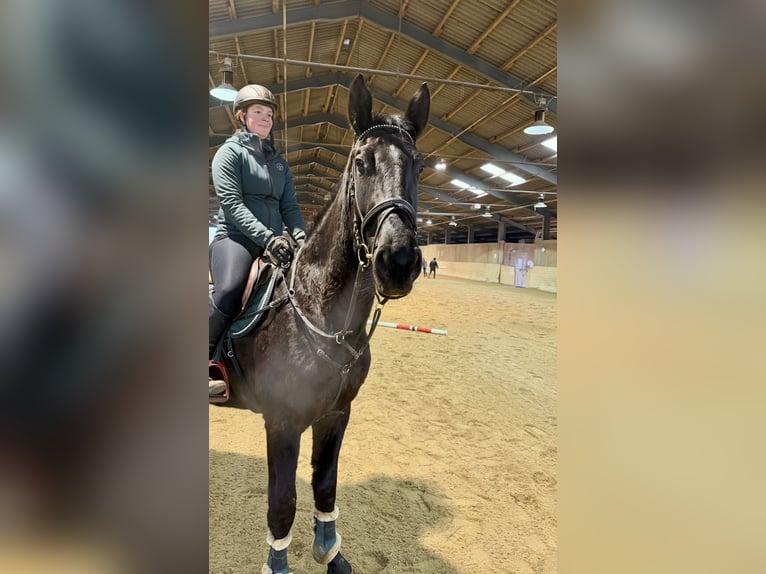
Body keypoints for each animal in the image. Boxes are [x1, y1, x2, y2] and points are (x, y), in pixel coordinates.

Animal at [211, 74, 430, 574]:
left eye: (419, 164)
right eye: (361, 162)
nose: (398, 261)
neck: (317, 311)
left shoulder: (336, 414)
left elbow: (325, 485)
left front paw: (331, 553)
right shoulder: (282, 421)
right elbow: (282, 503)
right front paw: (277, 565)